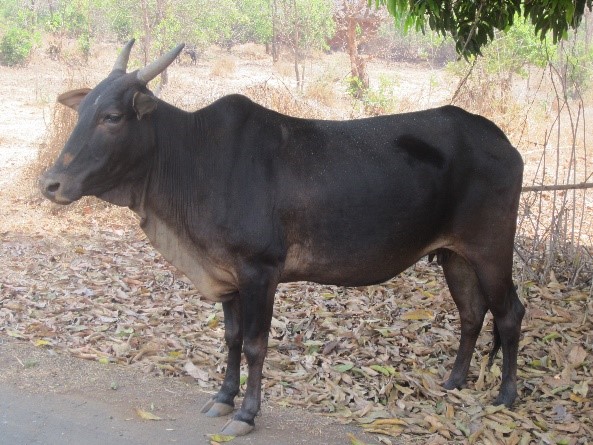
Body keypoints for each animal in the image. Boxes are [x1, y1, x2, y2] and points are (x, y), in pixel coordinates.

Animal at [39, 40, 524, 436]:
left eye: (112, 117)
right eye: (81, 113)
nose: (51, 183)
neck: (193, 159)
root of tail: (501, 140)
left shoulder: (260, 271)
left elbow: (256, 344)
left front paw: (246, 414)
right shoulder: (227, 275)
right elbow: (232, 338)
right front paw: (222, 398)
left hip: (492, 251)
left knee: (509, 314)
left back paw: (506, 395)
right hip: (454, 255)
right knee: (472, 314)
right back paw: (454, 381)